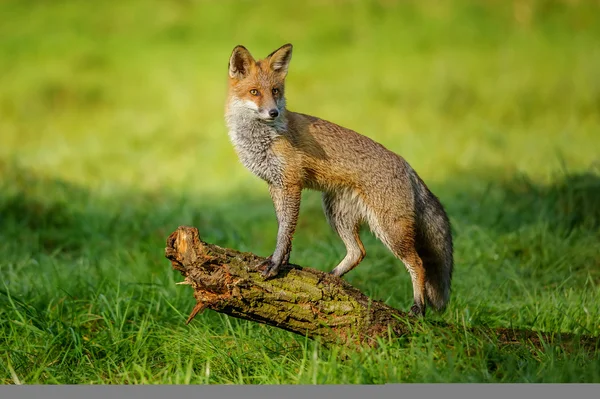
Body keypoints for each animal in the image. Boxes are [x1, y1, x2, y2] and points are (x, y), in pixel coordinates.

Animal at [225, 43, 454, 318]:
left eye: (275, 91)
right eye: (254, 92)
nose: (274, 112)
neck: (262, 138)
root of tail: (406, 164)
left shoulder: (290, 183)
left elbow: (285, 231)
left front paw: (276, 263)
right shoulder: (276, 184)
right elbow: (285, 230)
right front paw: (282, 263)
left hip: (389, 228)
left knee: (418, 264)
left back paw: (418, 308)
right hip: (337, 214)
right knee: (359, 252)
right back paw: (330, 278)